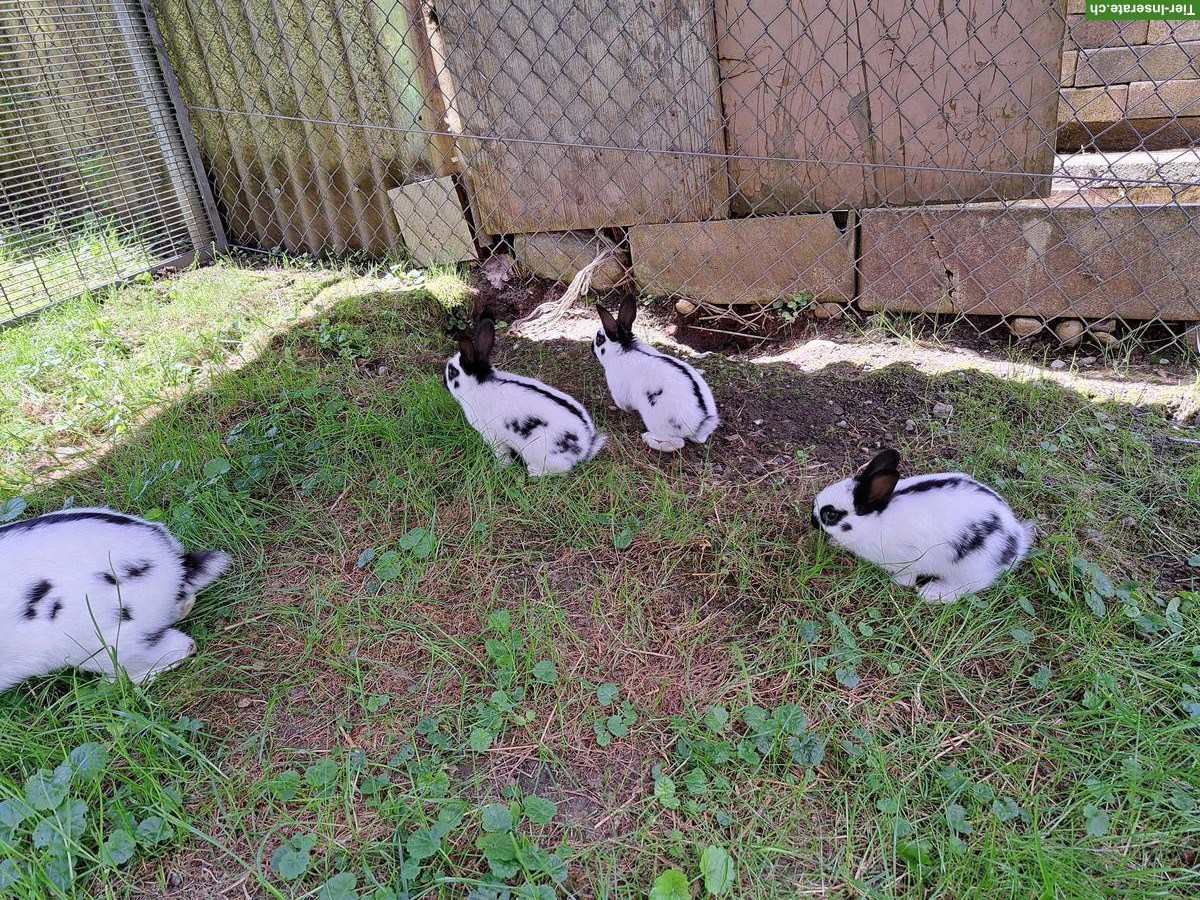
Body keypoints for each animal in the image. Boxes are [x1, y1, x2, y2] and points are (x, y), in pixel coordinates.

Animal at [445, 317, 606, 476]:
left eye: (452, 372)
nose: (443, 382)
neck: (478, 384)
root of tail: (585, 446)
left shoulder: (493, 437)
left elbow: (502, 456)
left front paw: (500, 468)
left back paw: (534, 472)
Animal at [593, 295, 718, 451]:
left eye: (599, 339)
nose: (591, 347)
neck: (624, 350)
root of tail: (700, 423)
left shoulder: (619, 393)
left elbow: (623, 405)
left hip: (658, 422)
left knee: (677, 443)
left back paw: (648, 438)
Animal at [811, 449, 1034, 603]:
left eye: (830, 514)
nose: (813, 522)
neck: (874, 521)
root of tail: (1015, 541)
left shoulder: (906, 561)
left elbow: (906, 578)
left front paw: (897, 584)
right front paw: (835, 543)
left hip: (969, 568)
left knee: (966, 587)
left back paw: (932, 593)